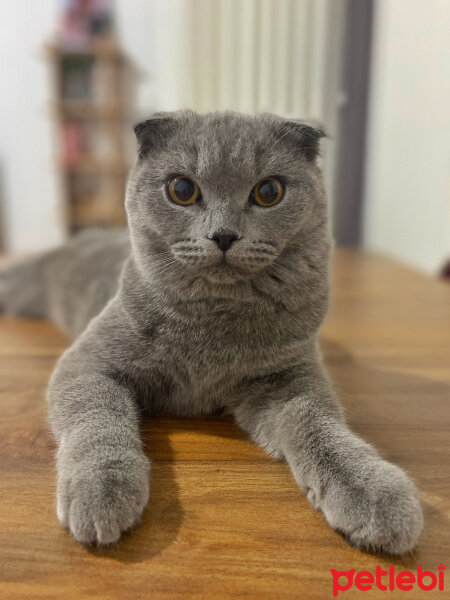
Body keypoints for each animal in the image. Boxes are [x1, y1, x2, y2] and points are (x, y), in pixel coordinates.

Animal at [0, 111, 422, 552]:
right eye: (182, 189)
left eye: (269, 191)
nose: (223, 235)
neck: (213, 319)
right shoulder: (87, 362)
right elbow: (97, 416)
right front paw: (100, 489)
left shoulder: (288, 375)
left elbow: (318, 424)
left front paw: (371, 492)